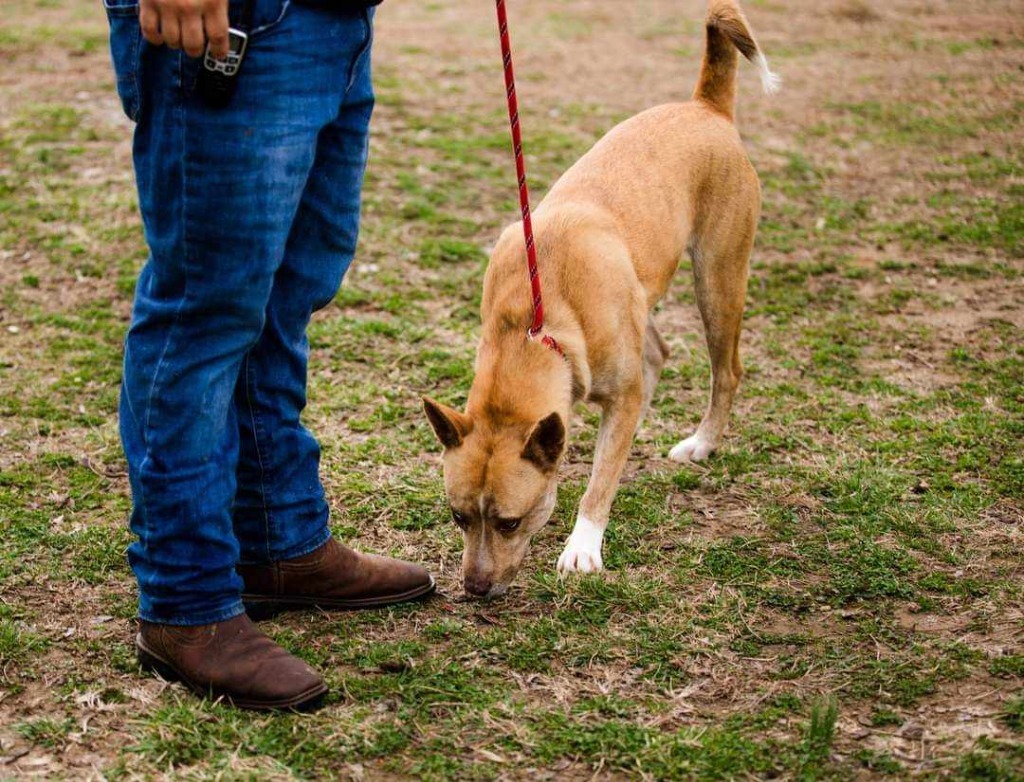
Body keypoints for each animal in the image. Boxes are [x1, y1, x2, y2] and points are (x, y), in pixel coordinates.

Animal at [421, 0, 774, 597]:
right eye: (457, 516)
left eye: (510, 522)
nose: (475, 589)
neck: (533, 324)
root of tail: (705, 107)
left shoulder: (618, 381)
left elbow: (600, 478)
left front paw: (583, 545)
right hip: (642, 293)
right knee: (656, 355)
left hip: (719, 279)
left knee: (725, 371)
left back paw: (702, 442)